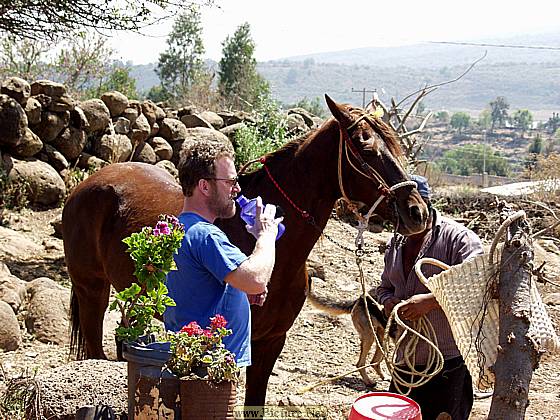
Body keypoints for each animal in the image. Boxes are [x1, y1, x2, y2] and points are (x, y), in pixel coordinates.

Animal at [62, 94, 428, 404]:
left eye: (394, 145)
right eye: (365, 148)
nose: (417, 212)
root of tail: (88, 185)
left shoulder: (271, 341)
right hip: (92, 291)